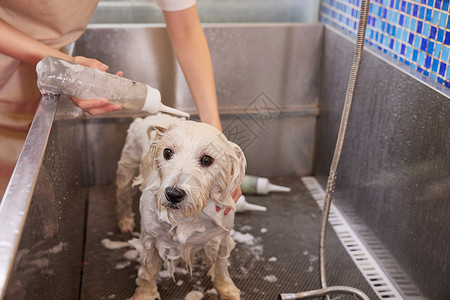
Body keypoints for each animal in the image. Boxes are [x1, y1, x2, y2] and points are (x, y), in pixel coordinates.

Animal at [114, 113, 244, 298]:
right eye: (167, 152)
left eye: (207, 159)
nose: (173, 194)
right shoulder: (149, 240)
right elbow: (147, 273)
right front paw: (144, 295)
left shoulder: (222, 238)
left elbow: (220, 267)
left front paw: (227, 289)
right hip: (127, 167)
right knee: (123, 196)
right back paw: (125, 222)